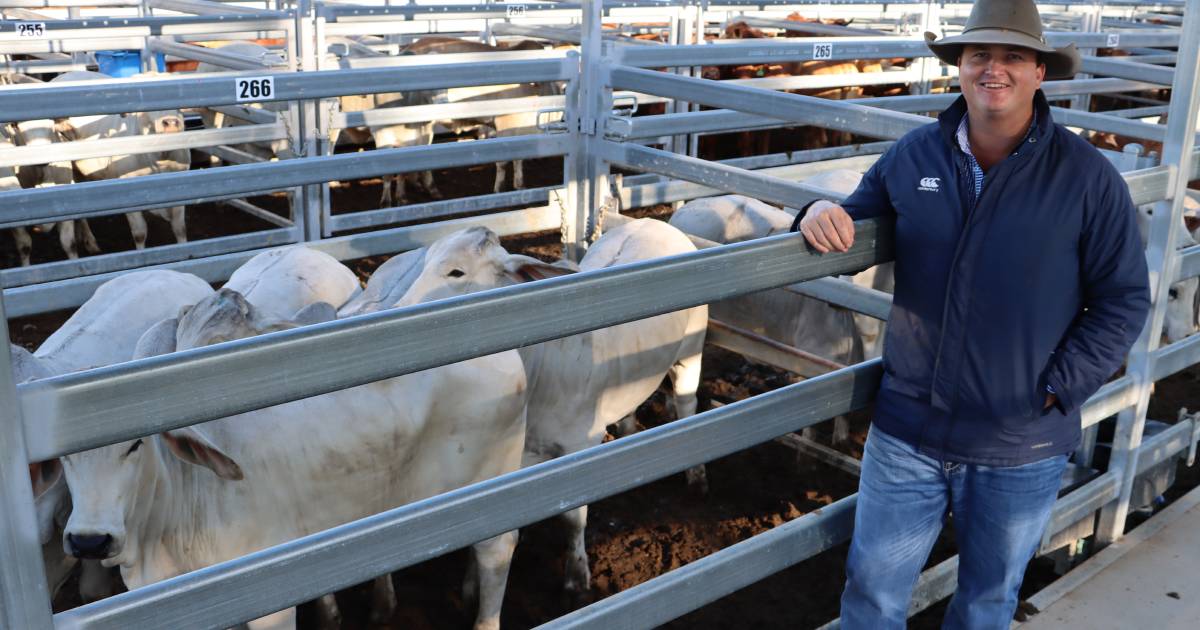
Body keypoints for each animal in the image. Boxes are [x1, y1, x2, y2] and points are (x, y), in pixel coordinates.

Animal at [393, 220, 705, 600]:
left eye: (457, 272)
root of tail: (655, 223)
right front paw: (470, 584)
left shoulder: (579, 446)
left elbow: (573, 516)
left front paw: (577, 577)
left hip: (691, 350)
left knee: (688, 403)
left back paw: (696, 477)